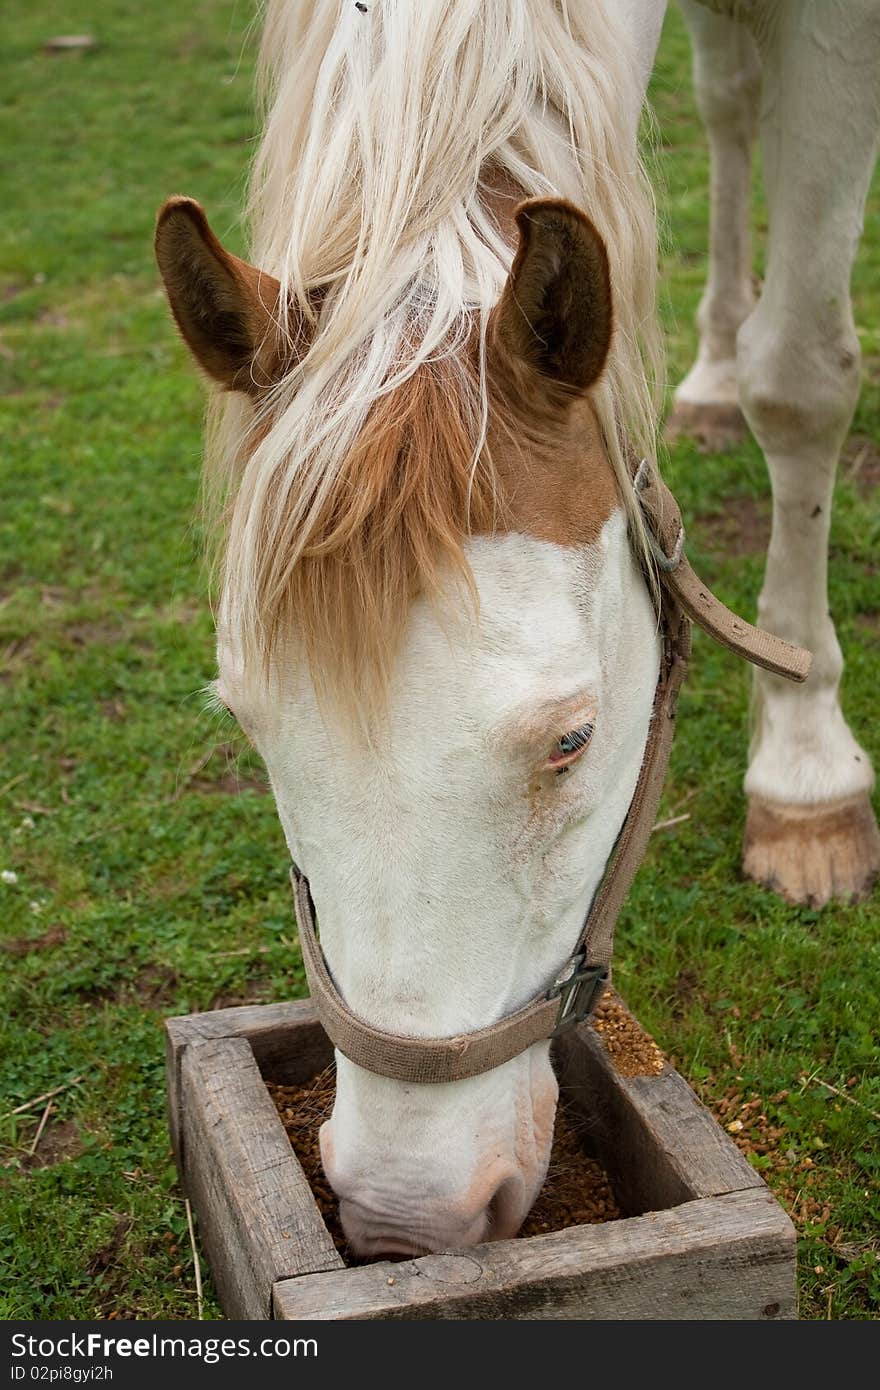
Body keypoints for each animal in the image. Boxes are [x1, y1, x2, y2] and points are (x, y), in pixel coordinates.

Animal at [152, 2, 873, 1262]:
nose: (404, 1214)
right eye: (249, 726)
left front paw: (804, 779)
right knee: (729, 105)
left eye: (571, 741)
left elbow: (800, 384)